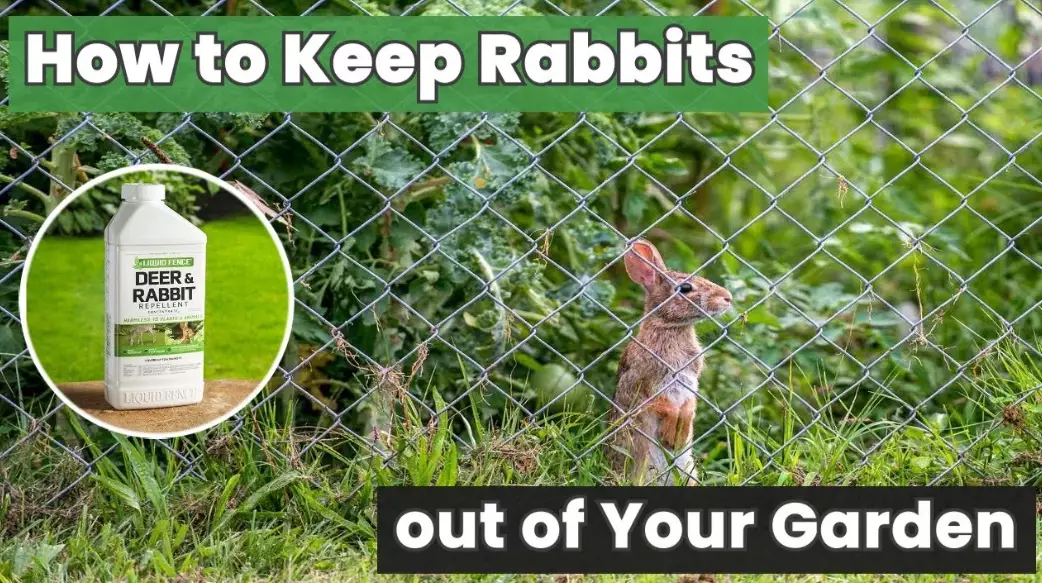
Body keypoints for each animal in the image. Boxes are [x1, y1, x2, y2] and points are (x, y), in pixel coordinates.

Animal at [607, 239, 732, 486]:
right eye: (685, 288)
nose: (727, 297)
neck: (671, 327)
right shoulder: (644, 382)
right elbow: (663, 405)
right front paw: (670, 434)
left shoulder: (691, 380)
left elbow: (689, 406)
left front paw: (679, 435)